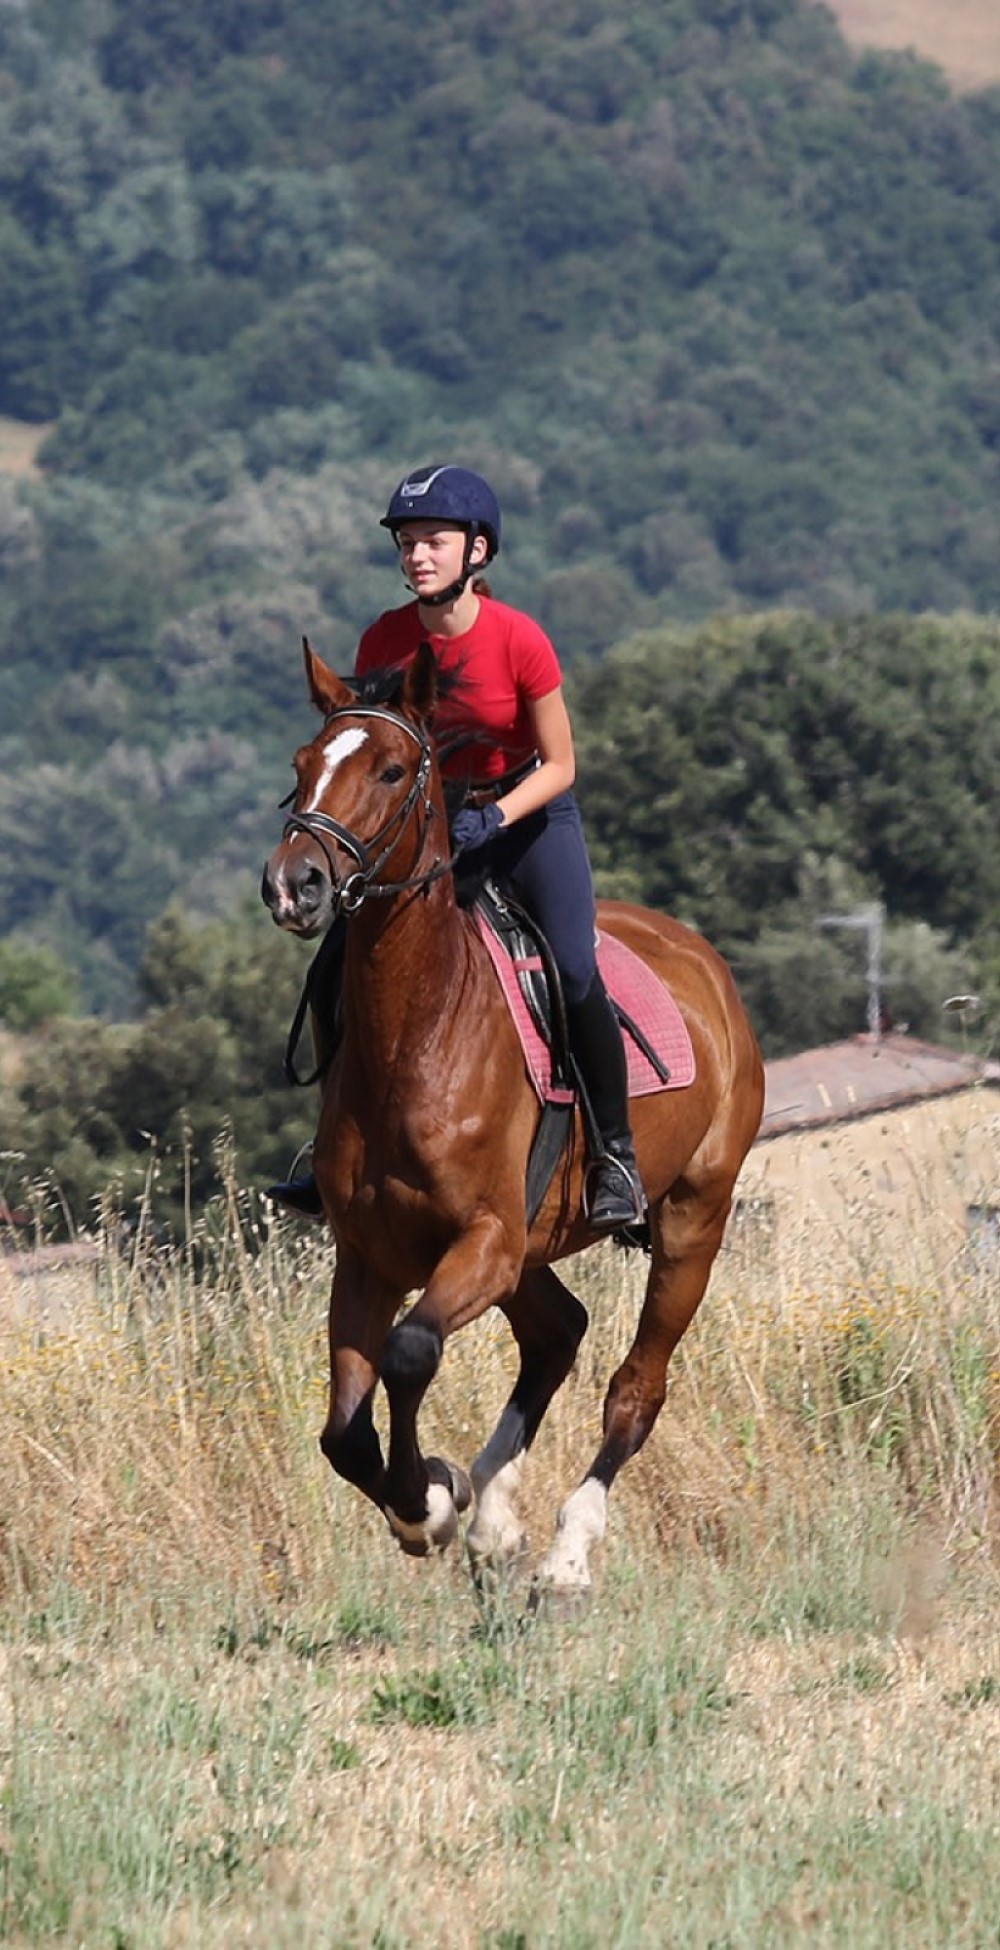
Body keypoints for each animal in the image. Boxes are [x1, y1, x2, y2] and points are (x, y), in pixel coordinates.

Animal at [261, 639, 760, 1599]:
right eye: (301, 767)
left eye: (391, 770)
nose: (293, 885)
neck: (418, 1034)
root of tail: (704, 961)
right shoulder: (372, 1257)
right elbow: (344, 1431)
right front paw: (441, 1497)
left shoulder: (484, 1240)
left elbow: (410, 1355)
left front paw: (429, 1503)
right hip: (529, 1250)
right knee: (558, 1333)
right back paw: (494, 1516)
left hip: (691, 1218)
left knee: (635, 1387)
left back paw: (565, 1554)